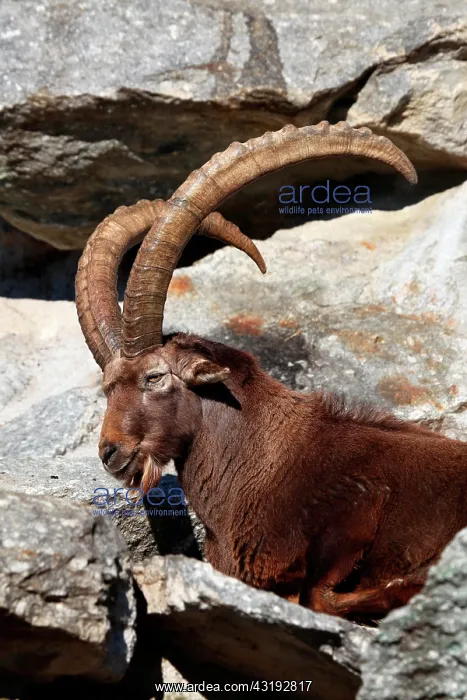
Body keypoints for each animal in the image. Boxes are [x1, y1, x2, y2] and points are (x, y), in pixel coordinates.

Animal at [75, 122, 467, 622]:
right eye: (107, 388)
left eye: (155, 377)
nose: (110, 452)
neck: (261, 457)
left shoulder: (360, 500)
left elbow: (317, 592)